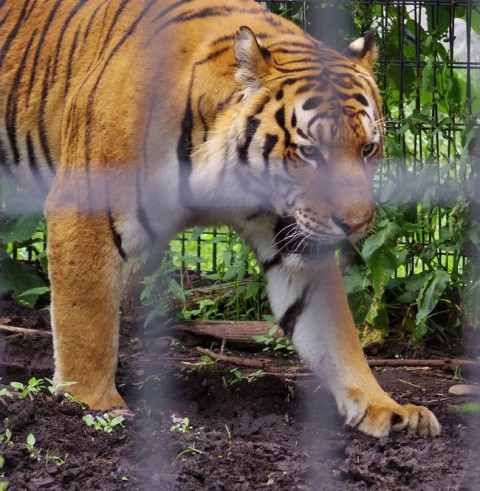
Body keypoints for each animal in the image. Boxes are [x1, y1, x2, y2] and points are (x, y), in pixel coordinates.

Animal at [0, 0, 440, 438]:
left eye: (367, 149)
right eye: (310, 152)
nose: (356, 224)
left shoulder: (290, 239)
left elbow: (336, 333)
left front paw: (386, 407)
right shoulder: (82, 213)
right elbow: (86, 324)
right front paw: (94, 405)